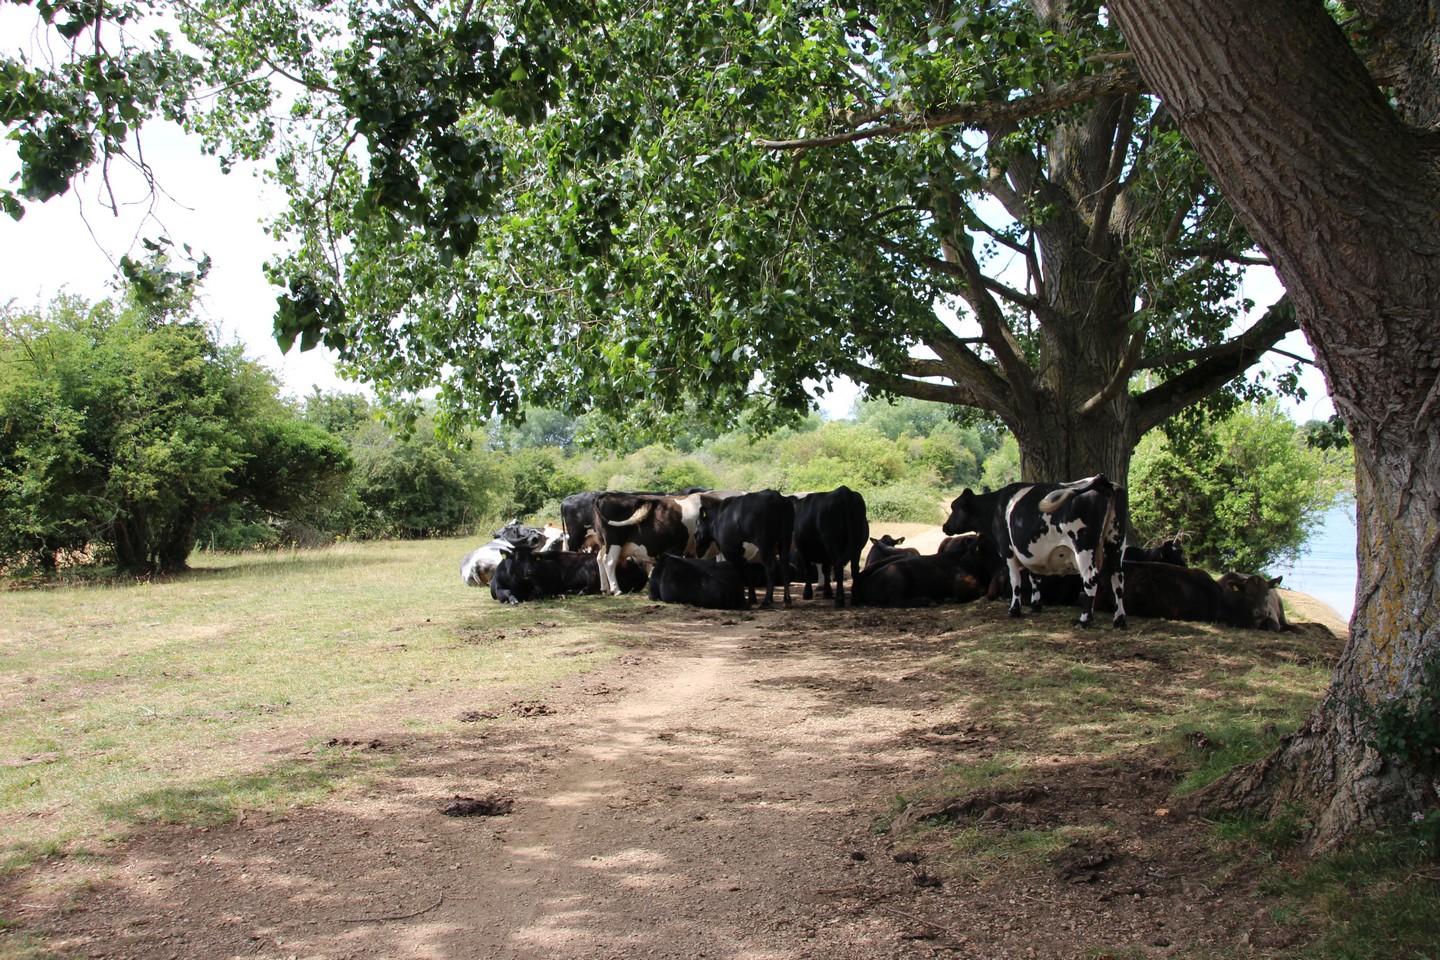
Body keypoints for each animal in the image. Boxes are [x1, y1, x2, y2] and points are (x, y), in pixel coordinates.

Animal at [943, 475, 1128, 628]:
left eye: (954, 506)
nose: (945, 526)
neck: (997, 506)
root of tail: (1102, 481)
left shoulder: (1007, 550)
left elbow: (1015, 580)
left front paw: (1014, 610)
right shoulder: (1035, 553)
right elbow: (1035, 576)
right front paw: (1036, 605)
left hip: (1083, 546)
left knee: (1091, 579)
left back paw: (1084, 620)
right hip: (1115, 543)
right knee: (1117, 578)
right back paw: (1119, 619)